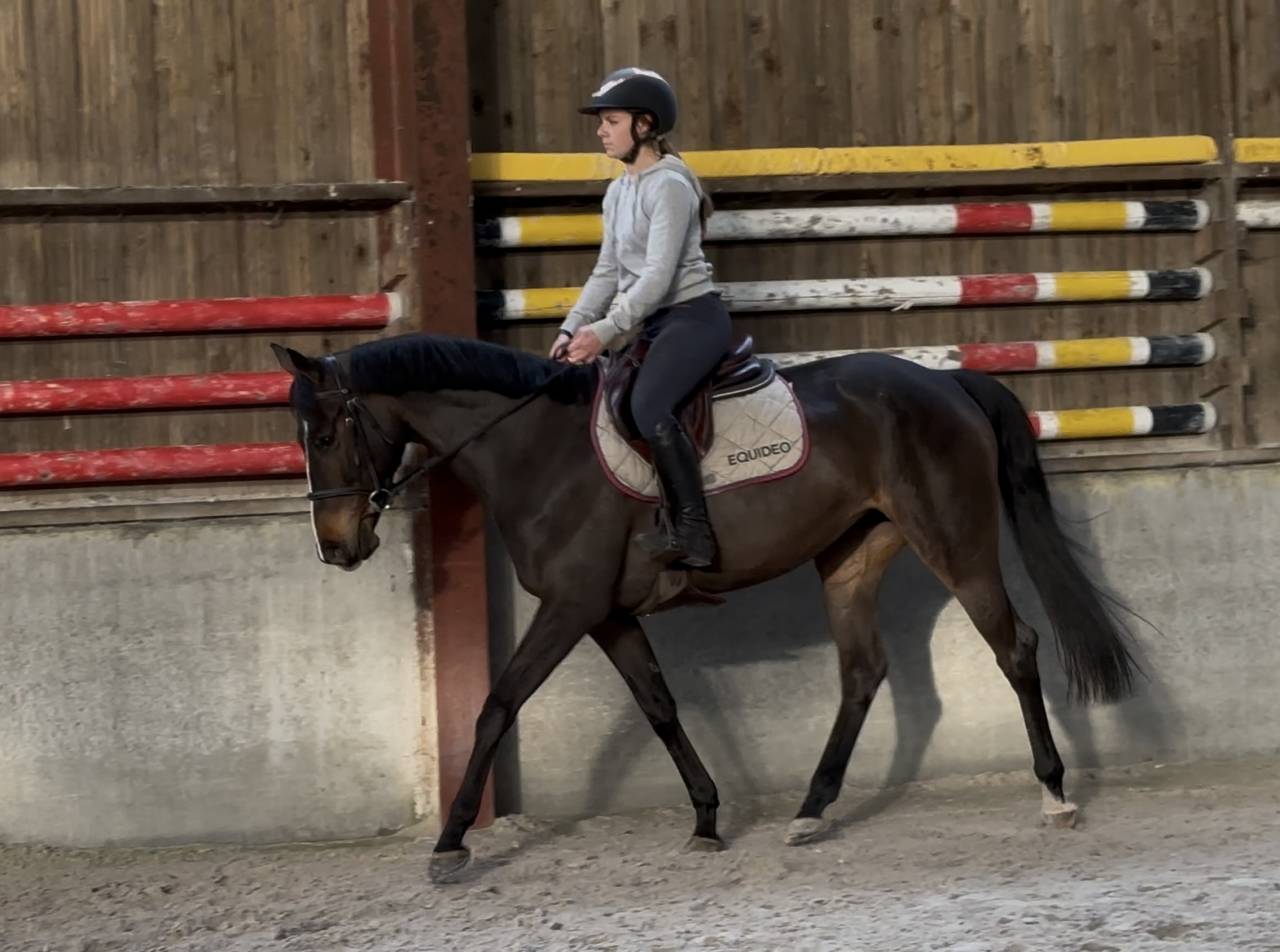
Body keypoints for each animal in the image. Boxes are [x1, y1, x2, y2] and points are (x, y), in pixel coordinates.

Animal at [271, 332, 1137, 883]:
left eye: (325, 433)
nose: (335, 547)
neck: (536, 449)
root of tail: (947, 380)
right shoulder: (607, 614)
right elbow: (659, 707)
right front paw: (707, 819)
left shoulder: (570, 607)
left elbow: (497, 705)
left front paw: (451, 843)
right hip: (853, 555)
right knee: (863, 673)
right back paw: (811, 811)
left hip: (953, 540)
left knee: (1014, 646)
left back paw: (1056, 796)